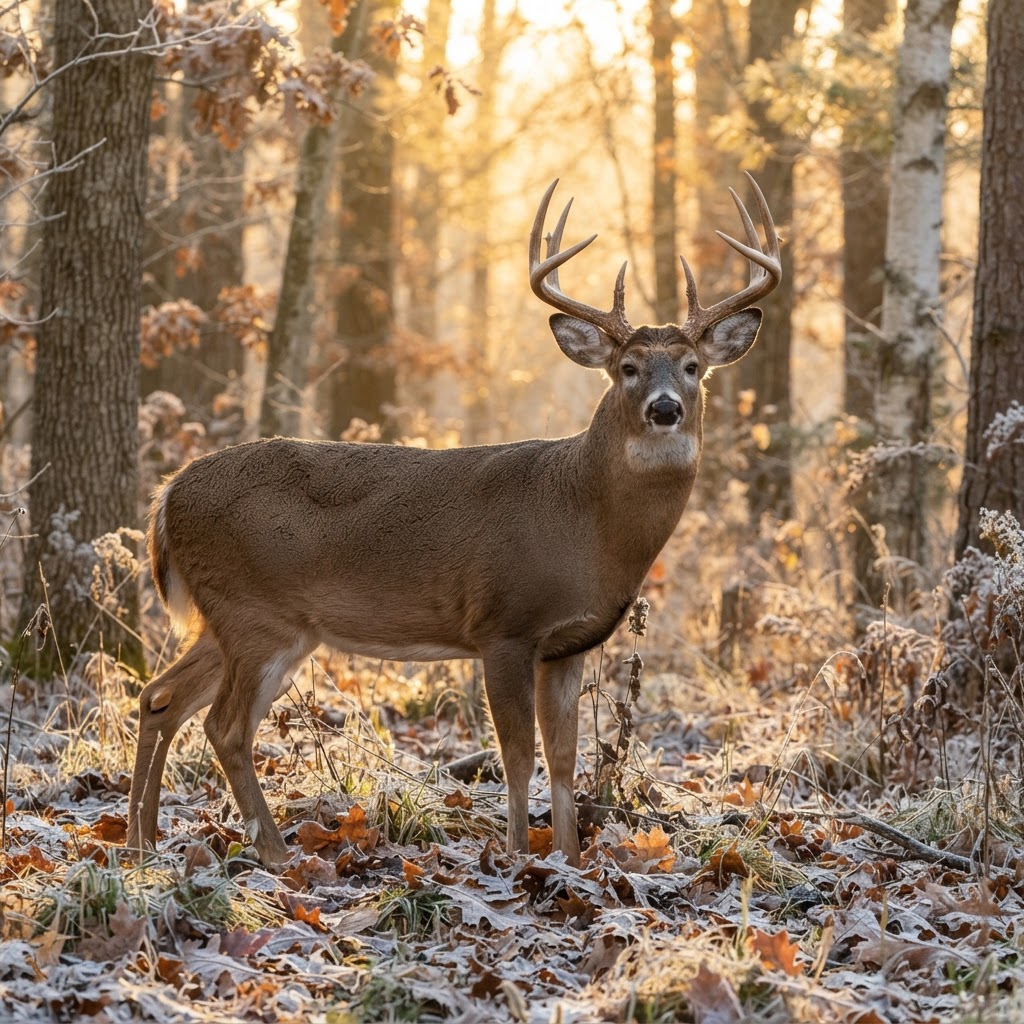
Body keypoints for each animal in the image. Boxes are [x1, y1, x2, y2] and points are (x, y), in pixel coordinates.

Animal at [127, 174, 780, 868]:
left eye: (692, 366)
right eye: (627, 368)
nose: (664, 408)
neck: (586, 519)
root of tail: (167, 495)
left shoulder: (570, 644)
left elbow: (564, 759)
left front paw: (569, 860)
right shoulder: (503, 625)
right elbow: (517, 757)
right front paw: (520, 857)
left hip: (230, 617)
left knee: (160, 697)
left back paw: (142, 838)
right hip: (257, 612)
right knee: (223, 725)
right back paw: (275, 853)